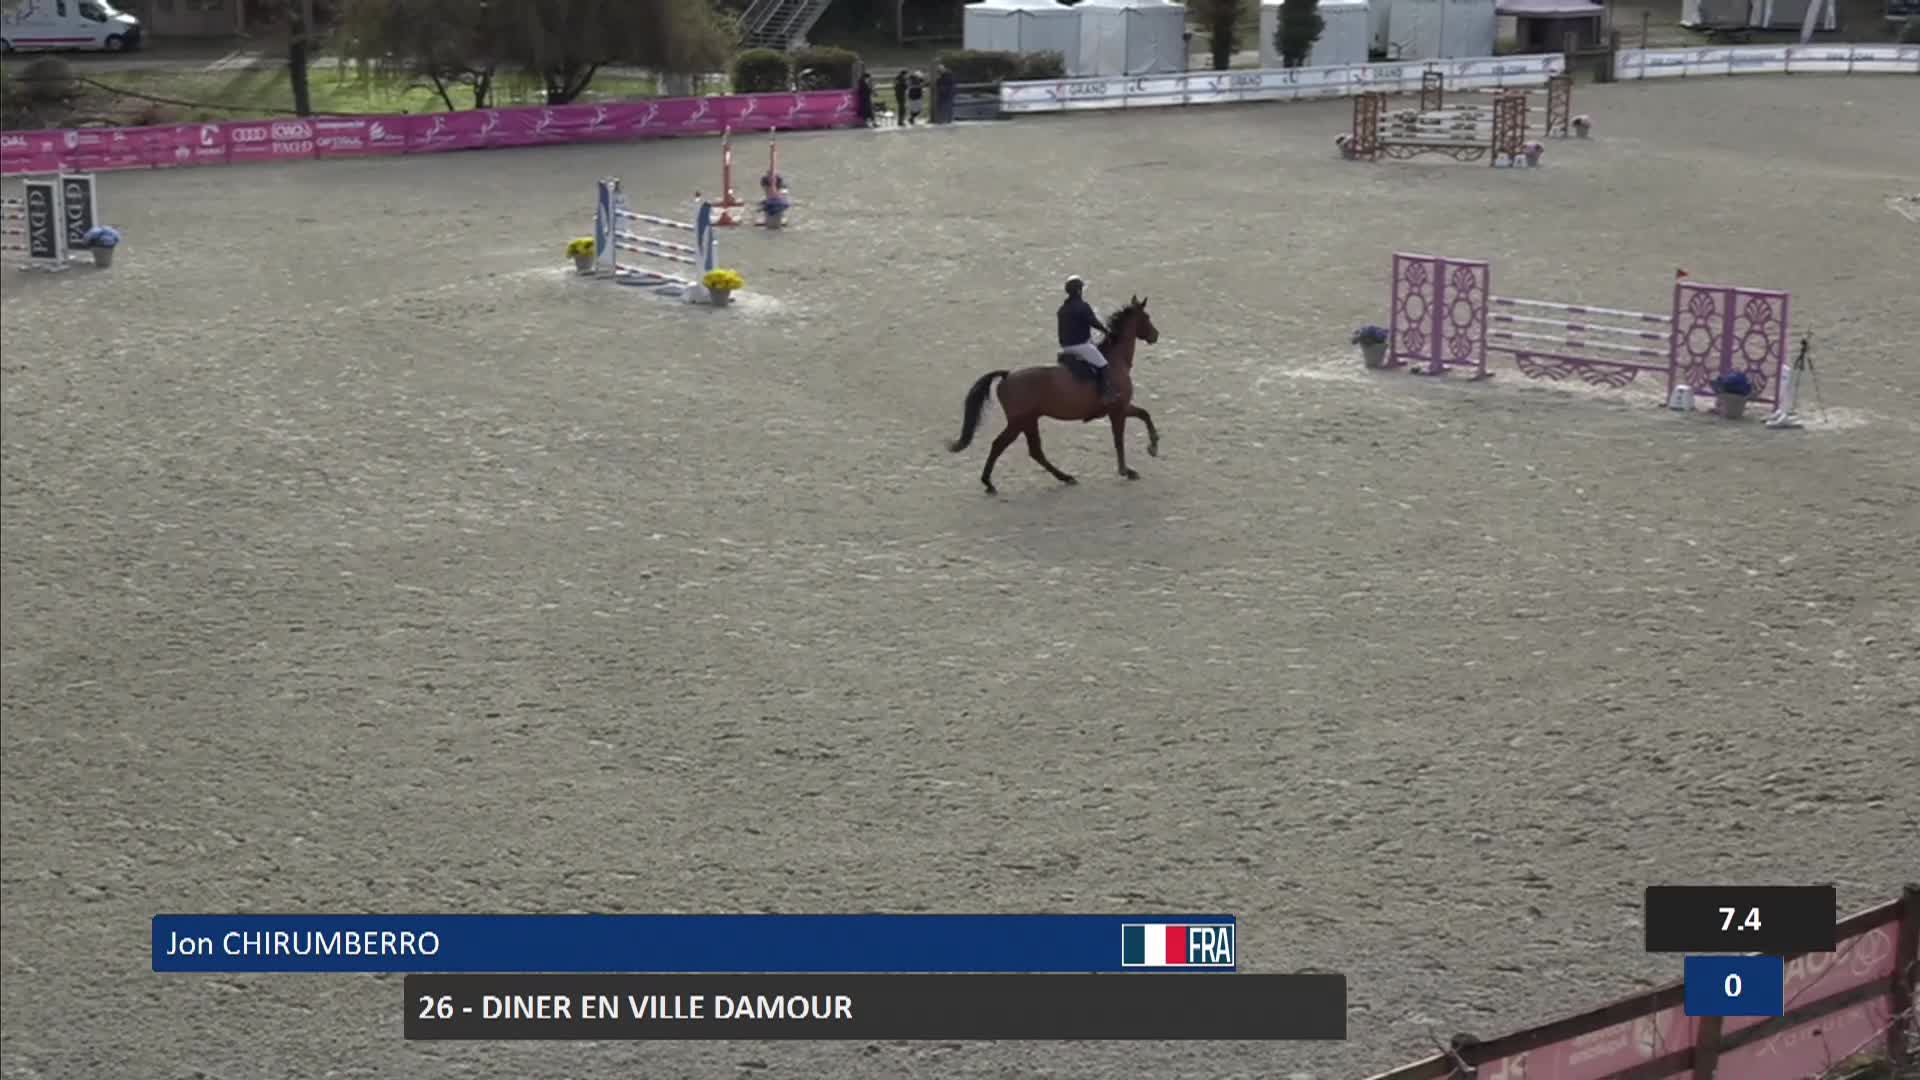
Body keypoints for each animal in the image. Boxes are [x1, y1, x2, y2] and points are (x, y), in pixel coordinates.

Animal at [947, 296, 1162, 495]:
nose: (1155, 335)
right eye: (1147, 317)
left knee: (1035, 451)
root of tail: (1007, 375)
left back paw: (1064, 477)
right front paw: (1127, 470)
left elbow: (1144, 414)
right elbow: (1120, 439)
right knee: (1000, 445)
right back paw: (989, 483)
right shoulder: (1117, 410)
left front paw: (1152, 448)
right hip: (1019, 422)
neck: (1115, 359)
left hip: (1029, 421)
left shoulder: (1121, 408)